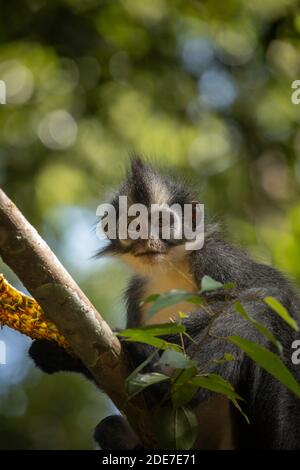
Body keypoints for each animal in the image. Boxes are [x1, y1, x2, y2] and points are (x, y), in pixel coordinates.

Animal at [29, 157, 300, 448]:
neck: (168, 268)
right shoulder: (137, 292)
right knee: (106, 426)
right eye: (135, 225)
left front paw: (132, 342)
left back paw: (167, 386)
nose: (148, 239)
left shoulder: (215, 257)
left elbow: (275, 292)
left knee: (259, 303)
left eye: (161, 222)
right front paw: (65, 355)